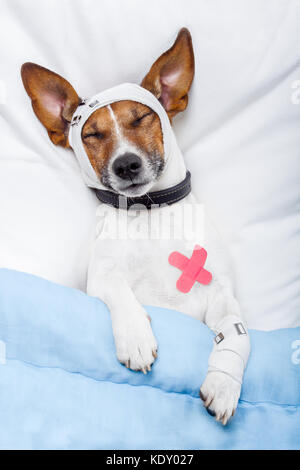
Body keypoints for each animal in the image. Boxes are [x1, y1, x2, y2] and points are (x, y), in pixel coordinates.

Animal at [21, 29, 251, 426]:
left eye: (142, 117)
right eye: (91, 135)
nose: (126, 164)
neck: (150, 210)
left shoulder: (222, 296)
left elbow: (238, 334)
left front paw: (224, 384)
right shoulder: (100, 277)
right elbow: (119, 290)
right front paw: (136, 336)